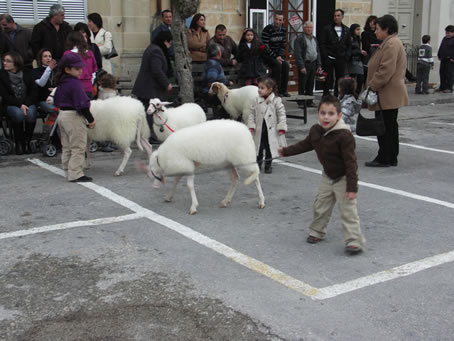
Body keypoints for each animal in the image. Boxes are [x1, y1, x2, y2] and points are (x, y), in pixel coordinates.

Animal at [138, 119, 266, 214]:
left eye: (151, 171)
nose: (154, 186)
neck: (162, 158)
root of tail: (245, 130)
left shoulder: (187, 166)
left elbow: (189, 186)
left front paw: (193, 207)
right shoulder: (183, 165)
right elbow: (176, 181)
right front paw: (169, 197)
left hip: (244, 158)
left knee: (255, 176)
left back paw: (261, 201)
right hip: (228, 163)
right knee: (235, 178)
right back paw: (225, 201)